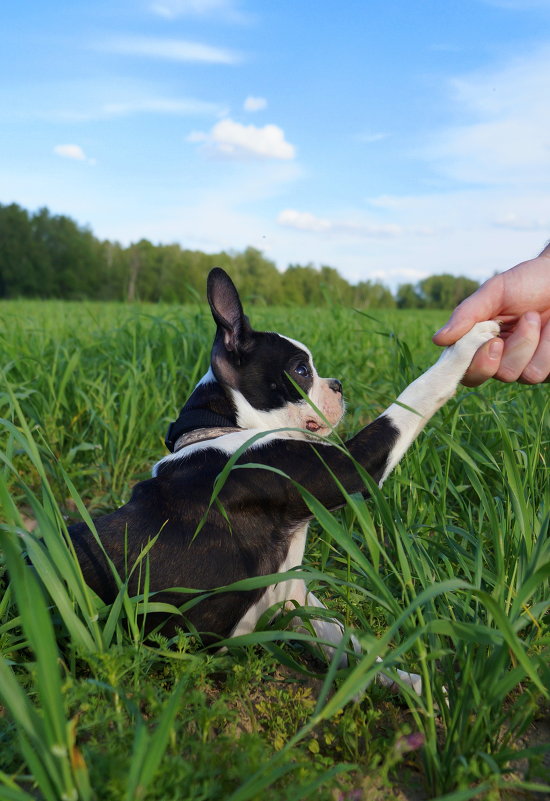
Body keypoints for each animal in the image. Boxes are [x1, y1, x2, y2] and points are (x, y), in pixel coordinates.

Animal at [70, 268, 500, 692]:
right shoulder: (352, 467)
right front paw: (469, 339)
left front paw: (414, 685)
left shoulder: (294, 593)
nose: (338, 384)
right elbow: (416, 396)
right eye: (301, 370)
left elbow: (349, 642)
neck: (224, 428)